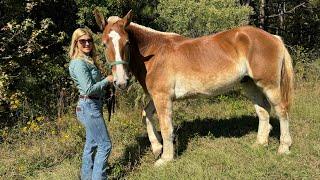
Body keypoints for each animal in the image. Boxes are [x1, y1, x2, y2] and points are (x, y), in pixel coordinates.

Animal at [93, 10, 296, 166]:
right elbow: (146, 115)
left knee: (282, 110)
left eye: (127, 43)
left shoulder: (162, 97)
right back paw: (260, 143)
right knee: (263, 111)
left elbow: (166, 127)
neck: (154, 54)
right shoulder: (157, 97)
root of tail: (274, 38)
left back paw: (284, 147)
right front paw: (157, 147)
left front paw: (165, 158)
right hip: (249, 85)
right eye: (104, 43)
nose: (121, 81)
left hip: (269, 85)